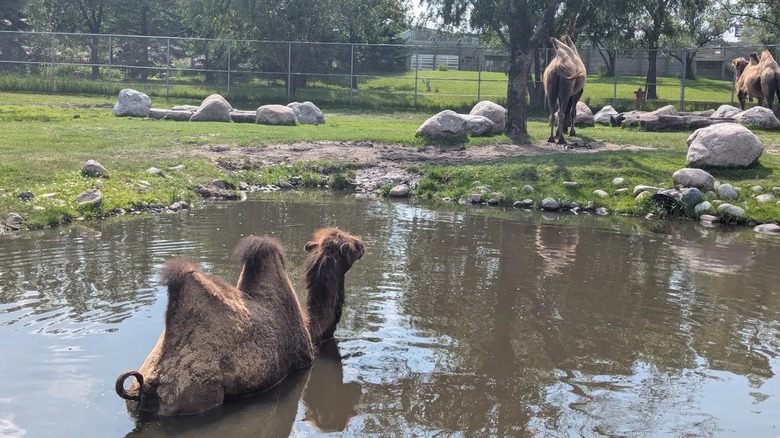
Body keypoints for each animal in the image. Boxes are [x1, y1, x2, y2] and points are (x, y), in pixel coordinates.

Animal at [115, 227, 364, 416]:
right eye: (350, 246)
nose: (362, 244)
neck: (313, 333)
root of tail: (147, 385)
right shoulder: (303, 361)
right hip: (196, 398)